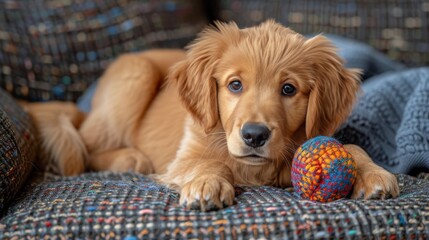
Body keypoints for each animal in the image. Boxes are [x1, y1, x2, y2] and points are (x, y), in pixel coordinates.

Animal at [27, 21, 398, 212]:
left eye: (289, 89)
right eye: (234, 85)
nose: (254, 135)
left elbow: (352, 148)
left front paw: (375, 174)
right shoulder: (184, 155)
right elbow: (208, 160)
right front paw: (208, 183)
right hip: (134, 75)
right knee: (86, 145)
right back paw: (130, 157)